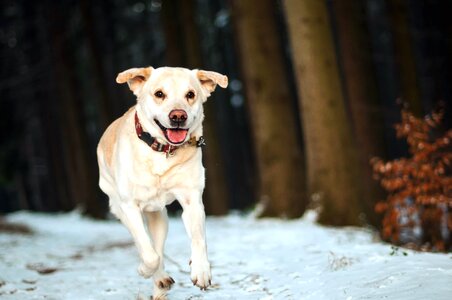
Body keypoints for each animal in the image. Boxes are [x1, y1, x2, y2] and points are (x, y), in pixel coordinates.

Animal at [96, 66, 228, 298]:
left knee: (157, 245)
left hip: (159, 217)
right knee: (147, 247)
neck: (162, 151)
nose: (178, 116)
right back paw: (158, 277)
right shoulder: (130, 206)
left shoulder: (192, 201)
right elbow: (148, 254)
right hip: (118, 206)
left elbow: (198, 239)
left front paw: (201, 270)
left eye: (190, 94)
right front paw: (143, 269)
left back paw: (160, 282)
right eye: (159, 94)